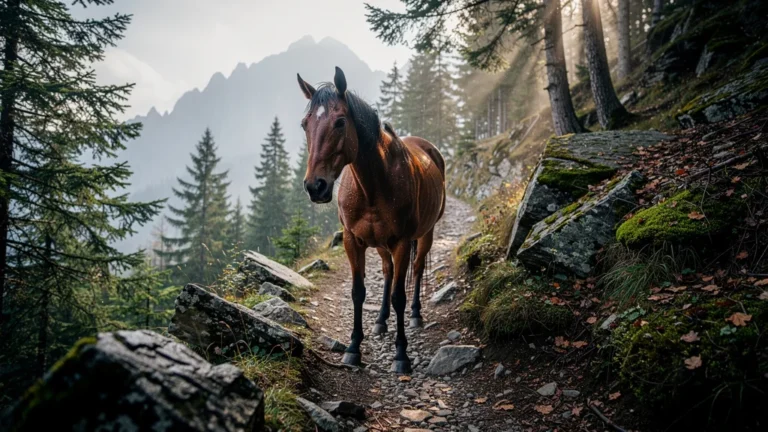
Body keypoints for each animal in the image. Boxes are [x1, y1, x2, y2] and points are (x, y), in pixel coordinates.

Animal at [297, 67, 446, 373]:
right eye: (305, 124)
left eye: (340, 122)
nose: (315, 186)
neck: (374, 184)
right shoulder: (353, 241)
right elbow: (358, 292)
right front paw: (354, 347)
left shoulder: (402, 242)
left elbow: (400, 295)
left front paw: (401, 355)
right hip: (380, 244)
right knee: (388, 272)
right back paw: (380, 321)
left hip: (425, 235)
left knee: (417, 269)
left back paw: (415, 315)